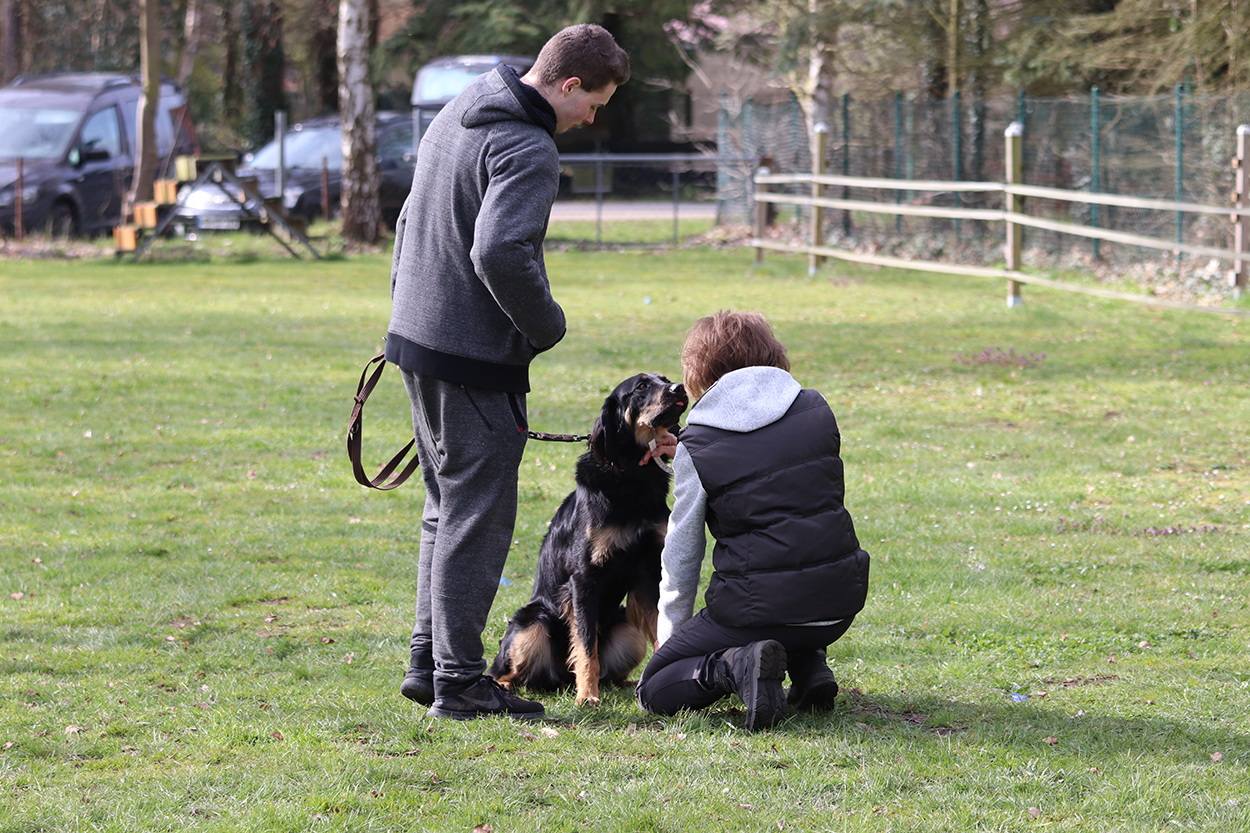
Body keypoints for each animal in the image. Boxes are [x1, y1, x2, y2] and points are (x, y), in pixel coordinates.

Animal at [488, 373, 687, 705]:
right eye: (641, 387)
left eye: (666, 379)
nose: (680, 388)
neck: (632, 476)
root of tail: (558, 680)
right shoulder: (583, 580)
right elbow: (584, 646)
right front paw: (587, 697)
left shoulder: (649, 573)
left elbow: (660, 630)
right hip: (532, 622)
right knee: (502, 671)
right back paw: (506, 687)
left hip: (627, 628)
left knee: (610, 670)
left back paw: (625, 683)